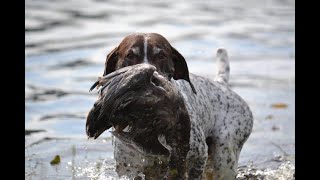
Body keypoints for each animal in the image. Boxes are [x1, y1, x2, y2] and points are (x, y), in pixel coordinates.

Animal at [86, 33, 254, 179]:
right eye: (130, 55)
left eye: (161, 55)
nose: (148, 73)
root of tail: (221, 84)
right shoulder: (129, 168)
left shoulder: (197, 156)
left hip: (224, 159)